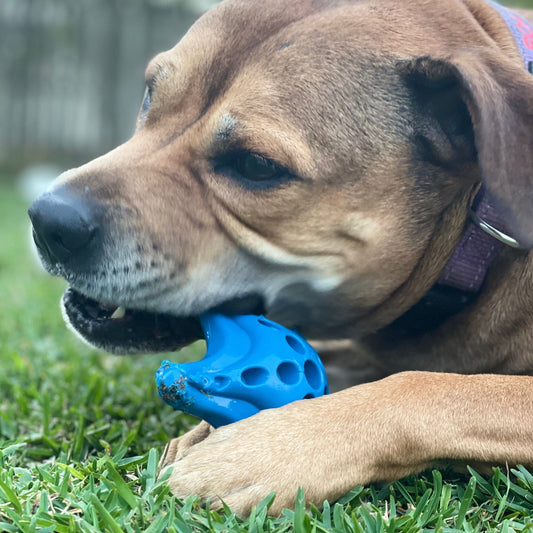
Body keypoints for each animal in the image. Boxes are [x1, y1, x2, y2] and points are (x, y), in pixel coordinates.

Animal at [27, 0, 532, 516]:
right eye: (150, 94)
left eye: (256, 165)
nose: (48, 221)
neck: (478, 231)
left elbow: (430, 385)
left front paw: (263, 451)